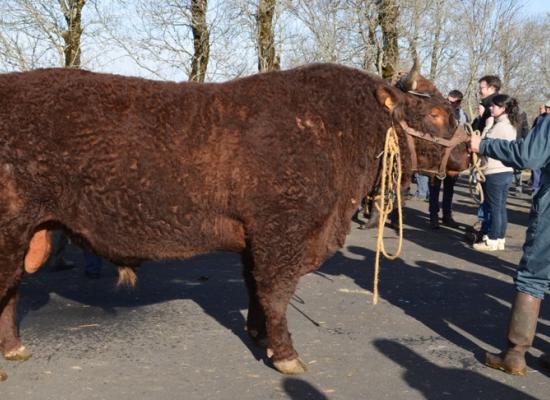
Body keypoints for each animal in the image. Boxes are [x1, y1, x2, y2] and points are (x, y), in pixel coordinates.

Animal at [0, 61, 470, 378]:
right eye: (436, 116)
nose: (468, 155)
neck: (334, 129)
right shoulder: (282, 232)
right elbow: (276, 291)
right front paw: (286, 355)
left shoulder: (257, 237)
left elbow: (256, 288)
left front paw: (259, 334)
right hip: (11, 231)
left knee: (11, 292)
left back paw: (14, 349)